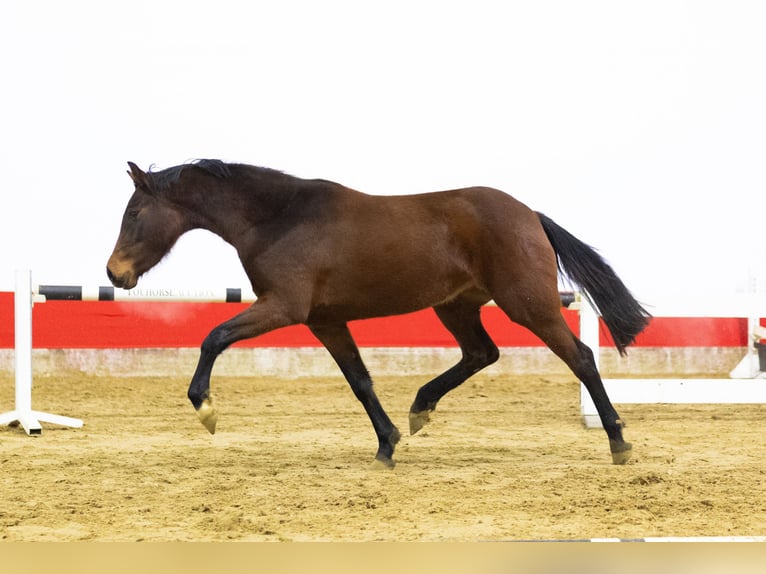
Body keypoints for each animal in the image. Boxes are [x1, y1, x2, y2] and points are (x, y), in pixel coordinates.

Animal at [107, 159, 650, 468]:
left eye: (133, 213)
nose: (115, 273)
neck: (278, 219)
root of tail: (529, 214)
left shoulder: (281, 308)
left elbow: (214, 336)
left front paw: (206, 409)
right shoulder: (323, 320)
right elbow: (360, 380)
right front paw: (387, 445)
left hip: (528, 304)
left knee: (580, 357)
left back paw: (618, 442)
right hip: (456, 306)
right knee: (482, 353)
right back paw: (420, 409)